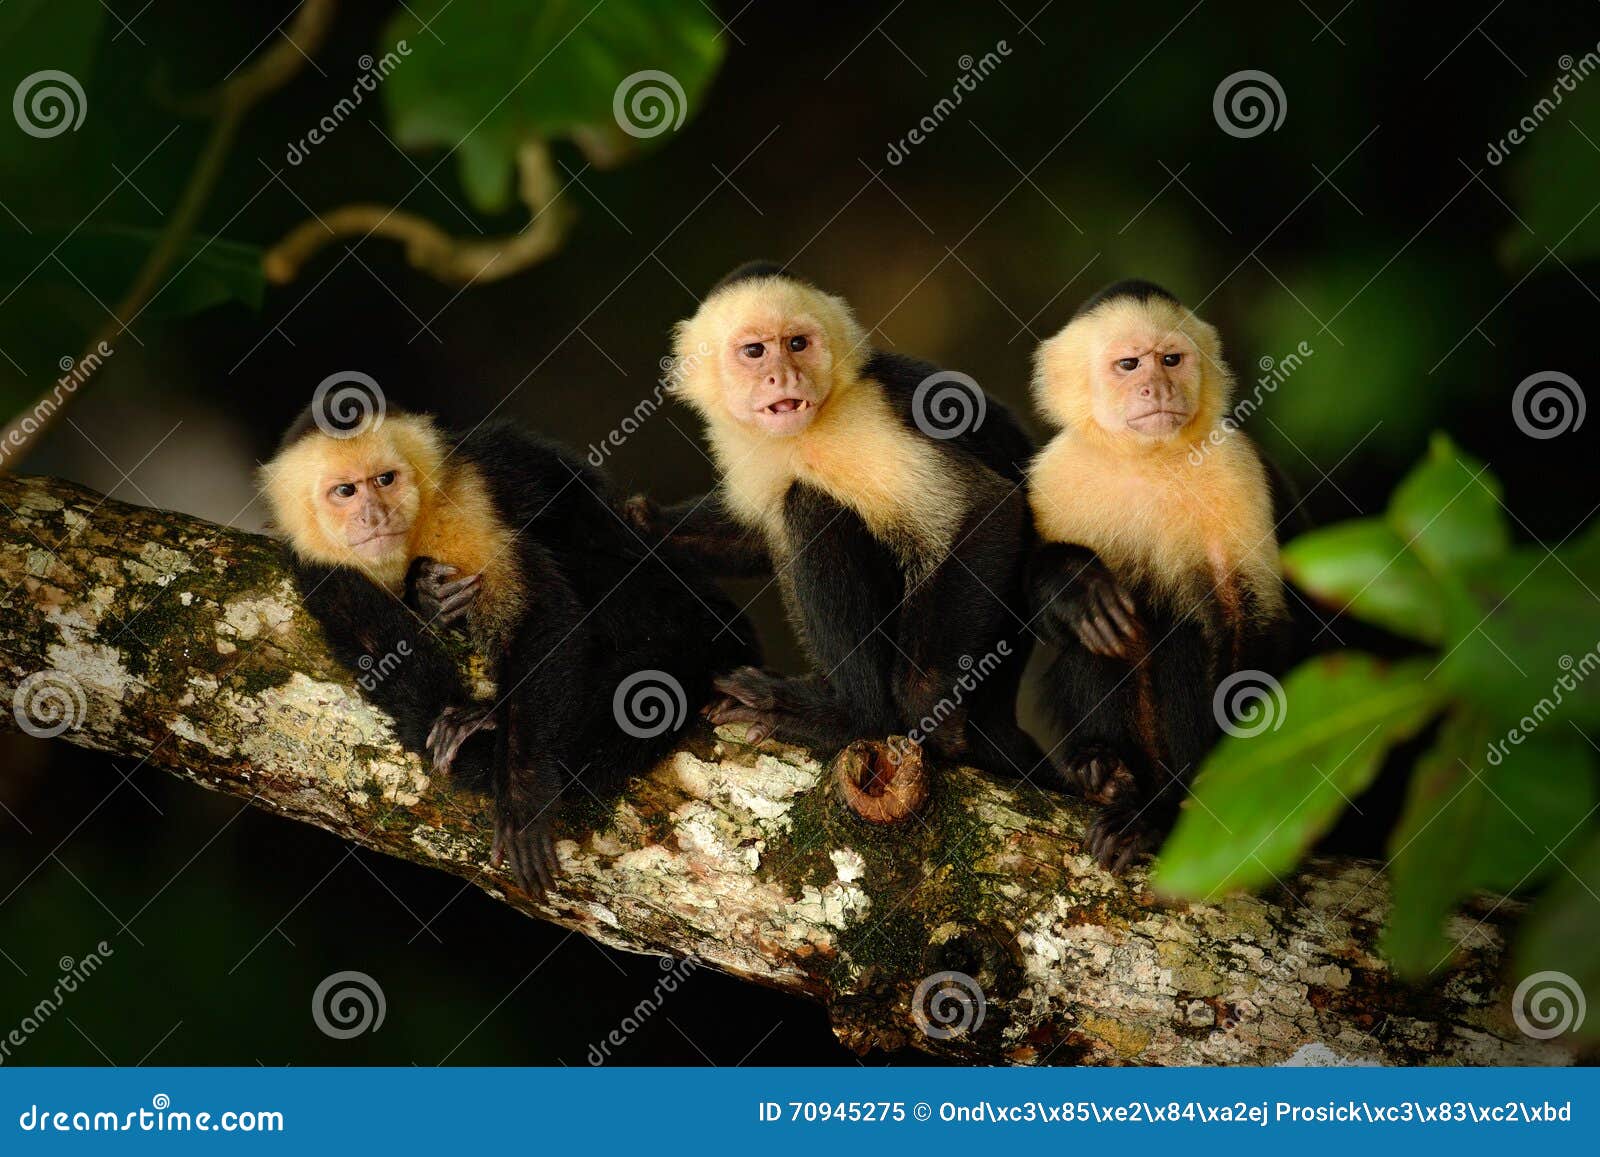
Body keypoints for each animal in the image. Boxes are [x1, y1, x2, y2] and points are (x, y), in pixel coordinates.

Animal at [262, 403, 761, 889]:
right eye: (346, 491)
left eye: (385, 480)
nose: (375, 515)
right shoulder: (316, 558)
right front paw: (428, 599)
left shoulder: (464, 498)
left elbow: (540, 609)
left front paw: (523, 792)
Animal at [624, 267, 1049, 784]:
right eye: (755, 351)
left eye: (798, 343)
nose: (784, 376)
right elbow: (751, 536)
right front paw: (645, 522)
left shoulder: (858, 421)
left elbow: (986, 508)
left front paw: (927, 709)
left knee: (809, 505)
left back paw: (849, 714)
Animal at [1024, 283, 1299, 870]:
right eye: (1129, 365)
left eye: (1171, 359)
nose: (1158, 386)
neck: (1146, 459)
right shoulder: (1054, 474)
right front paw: (1073, 586)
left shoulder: (1234, 467)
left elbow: (1248, 624)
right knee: (1105, 635)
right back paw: (1106, 770)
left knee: (1189, 635)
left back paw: (1155, 811)